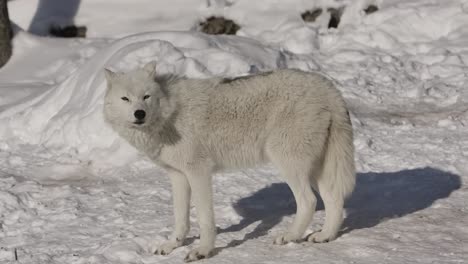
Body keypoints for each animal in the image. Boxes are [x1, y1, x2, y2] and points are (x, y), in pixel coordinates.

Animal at [103, 62, 354, 262]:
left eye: (146, 97)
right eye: (125, 99)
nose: (139, 113)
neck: (171, 114)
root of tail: (329, 88)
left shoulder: (199, 172)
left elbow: (204, 218)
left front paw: (203, 251)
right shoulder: (178, 176)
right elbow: (180, 218)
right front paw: (172, 245)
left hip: (289, 163)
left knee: (309, 201)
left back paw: (290, 236)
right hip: (315, 169)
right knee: (334, 199)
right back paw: (325, 235)